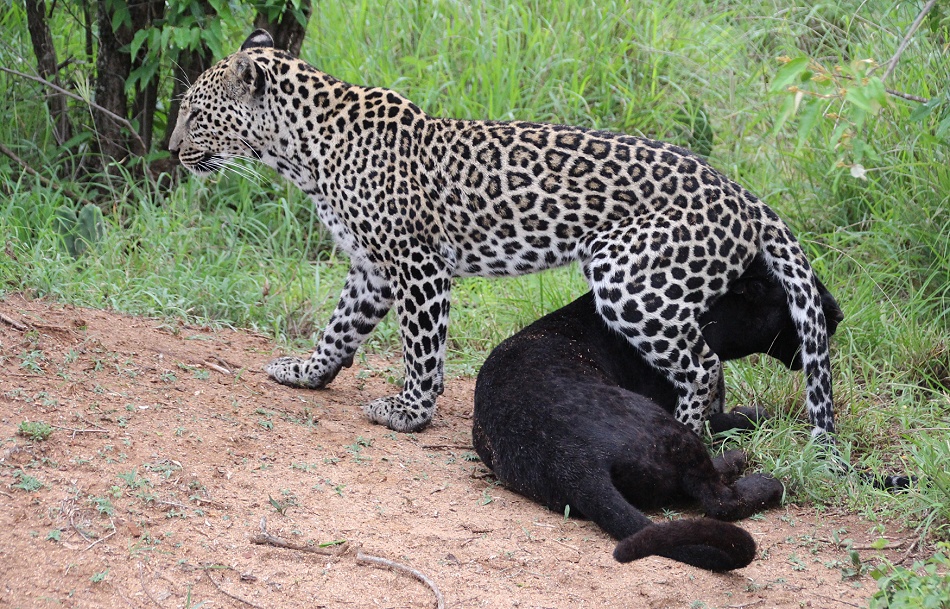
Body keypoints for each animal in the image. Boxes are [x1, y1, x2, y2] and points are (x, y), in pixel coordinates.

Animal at [169, 29, 838, 438]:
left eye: (195, 113)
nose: (173, 150)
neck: (301, 150)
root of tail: (743, 193)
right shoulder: (372, 267)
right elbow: (340, 327)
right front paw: (308, 372)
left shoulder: (418, 265)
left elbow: (422, 348)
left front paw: (409, 412)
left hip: (630, 279)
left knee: (704, 363)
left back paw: (686, 432)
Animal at [472, 253, 842, 571]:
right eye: (798, 291)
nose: (838, 314)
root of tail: (575, 465)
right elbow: (730, 421)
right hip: (669, 428)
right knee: (718, 498)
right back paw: (759, 475)